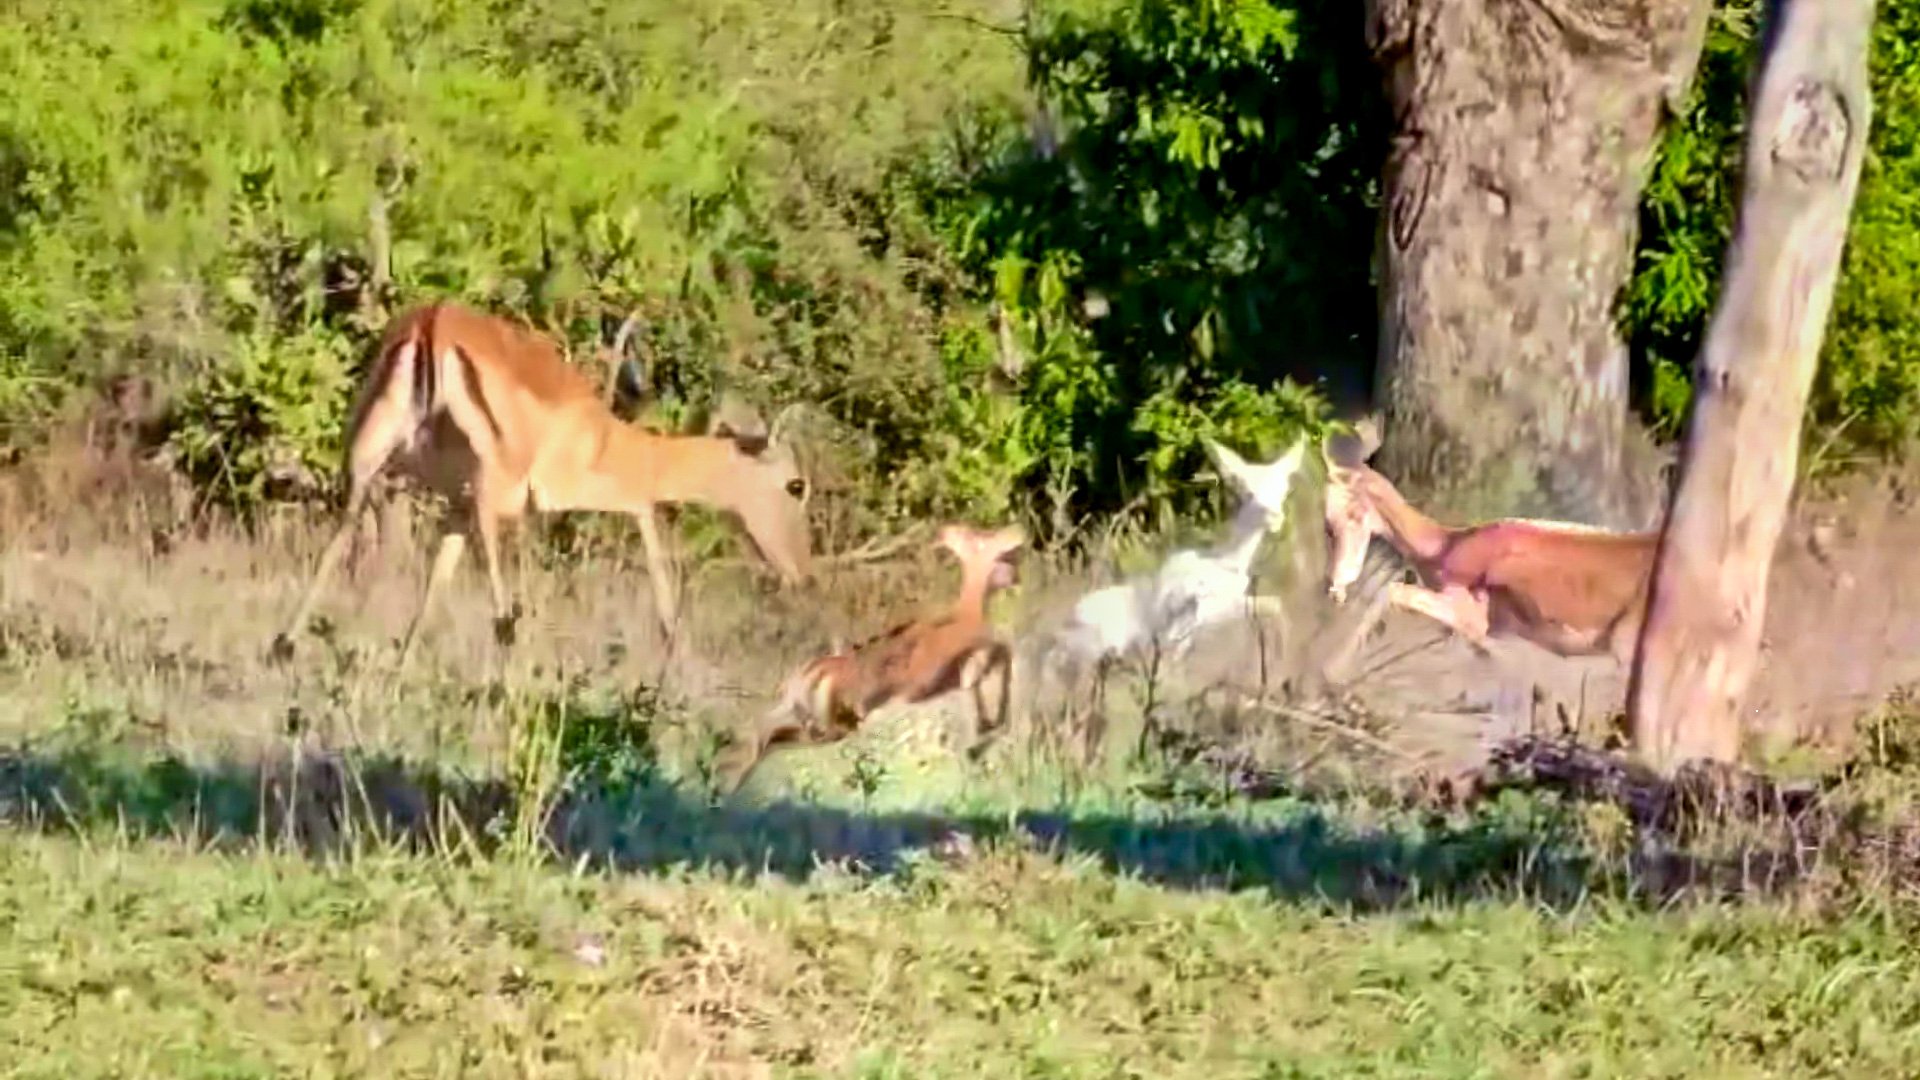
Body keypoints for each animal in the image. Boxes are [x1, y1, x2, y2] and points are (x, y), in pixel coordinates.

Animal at [269, 301, 814, 666]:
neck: (607, 436)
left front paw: (403, 665)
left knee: (334, 547)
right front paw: (672, 645)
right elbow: (645, 516)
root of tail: (432, 324)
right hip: (492, 486)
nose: (801, 573)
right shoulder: (569, 493)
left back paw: (284, 646)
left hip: (367, 468)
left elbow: (432, 591)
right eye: (796, 485)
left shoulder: (455, 507)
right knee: (498, 593)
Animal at [716, 523, 1026, 795]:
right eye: (984, 537)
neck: (966, 614)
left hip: (801, 715)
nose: (1017, 533)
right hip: (832, 727)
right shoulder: (966, 668)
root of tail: (808, 676)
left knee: (759, 733)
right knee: (770, 739)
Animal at [1039, 436, 1308, 760]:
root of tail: (1057, 636)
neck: (1223, 563)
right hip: (1088, 659)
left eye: (1284, 487)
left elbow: (1273, 606)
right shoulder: (1196, 612)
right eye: (1246, 489)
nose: (1276, 519)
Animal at [1321, 423, 1661, 669]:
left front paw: (1332, 673)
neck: (1445, 547)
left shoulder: (1472, 616)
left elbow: (1392, 591)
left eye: (1348, 515)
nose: (1335, 585)